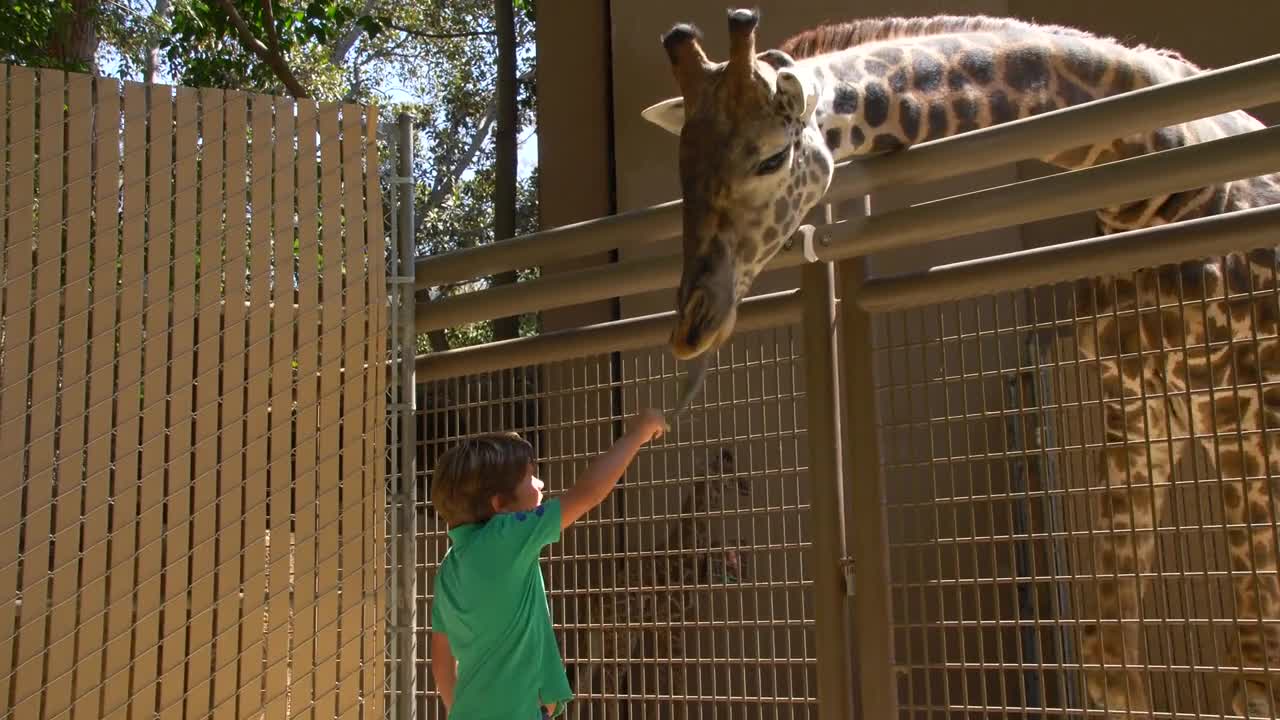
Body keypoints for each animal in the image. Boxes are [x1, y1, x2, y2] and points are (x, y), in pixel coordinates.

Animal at [578, 445, 747, 712]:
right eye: (726, 465)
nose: (745, 486)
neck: (684, 548)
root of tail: (592, 605)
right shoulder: (674, 620)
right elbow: (677, 684)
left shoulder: (661, 628)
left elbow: (667, 682)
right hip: (619, 636)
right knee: (609, 685)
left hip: (601, 639)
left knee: (582, 685)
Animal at [645, 7, 1280, 717]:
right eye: (681, 174)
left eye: (772, 157)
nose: (691, 324)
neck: (1152, 182)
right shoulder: (1139, 411)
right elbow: (1108, 659)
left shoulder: (1248, 411)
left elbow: (1254, 671)